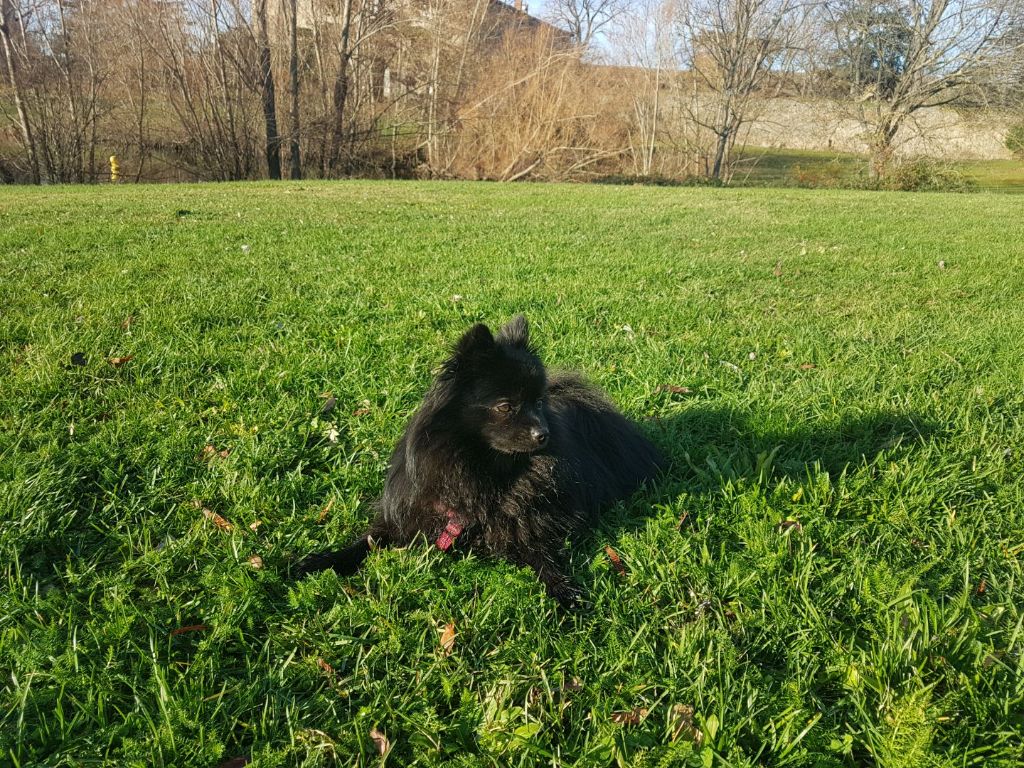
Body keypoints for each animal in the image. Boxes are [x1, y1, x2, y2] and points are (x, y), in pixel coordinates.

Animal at [295, 316, 663, 606]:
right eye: (506, 406)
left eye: (538, 402)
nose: (543, 434)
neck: (484, 471)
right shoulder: (410, 517)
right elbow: (363, 543)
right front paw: (315, 563)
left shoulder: (527, 527)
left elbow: (544, 558)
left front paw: (564, 591)